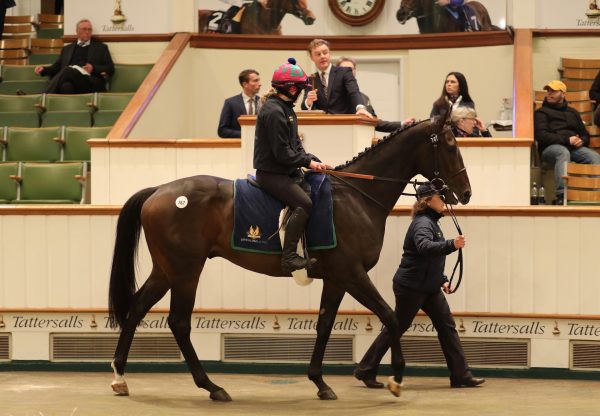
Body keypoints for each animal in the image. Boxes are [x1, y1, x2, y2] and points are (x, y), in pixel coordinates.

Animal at [109, 115, 474, 402]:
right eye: (450, 145)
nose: (466, 193)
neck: (357, 197)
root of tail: (158, 191)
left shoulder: (337, 280)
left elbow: (325, 325)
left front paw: (320, 382)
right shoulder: (353, 274)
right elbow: (391, 317)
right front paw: (396, 379)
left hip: (166, 270)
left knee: (137, 309)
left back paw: (120, 377)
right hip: (185, 272)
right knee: (179, 323)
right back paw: (211, 387)